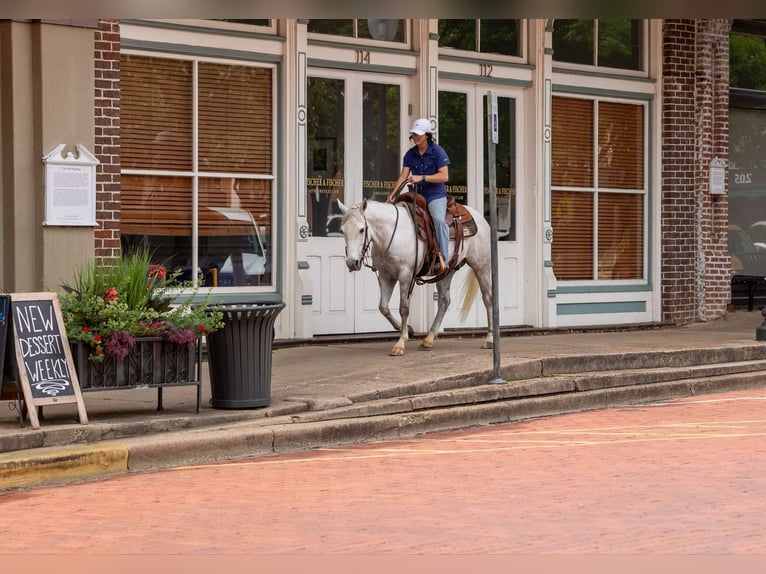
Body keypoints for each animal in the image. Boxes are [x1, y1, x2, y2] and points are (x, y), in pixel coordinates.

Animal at [337, 197, 494, 356]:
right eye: (342, 231)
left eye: (362, 229)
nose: (352, 263)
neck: (391, 234)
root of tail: (479, 217)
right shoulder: (386, 275)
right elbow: (383, 307)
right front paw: (407, 330)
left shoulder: (405, 274)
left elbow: (404, 308)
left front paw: (400, 343)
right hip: (447, 271)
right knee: (444, 301)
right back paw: (428, 339)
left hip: (481, 265)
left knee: (488, 298)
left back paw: (489, 339)